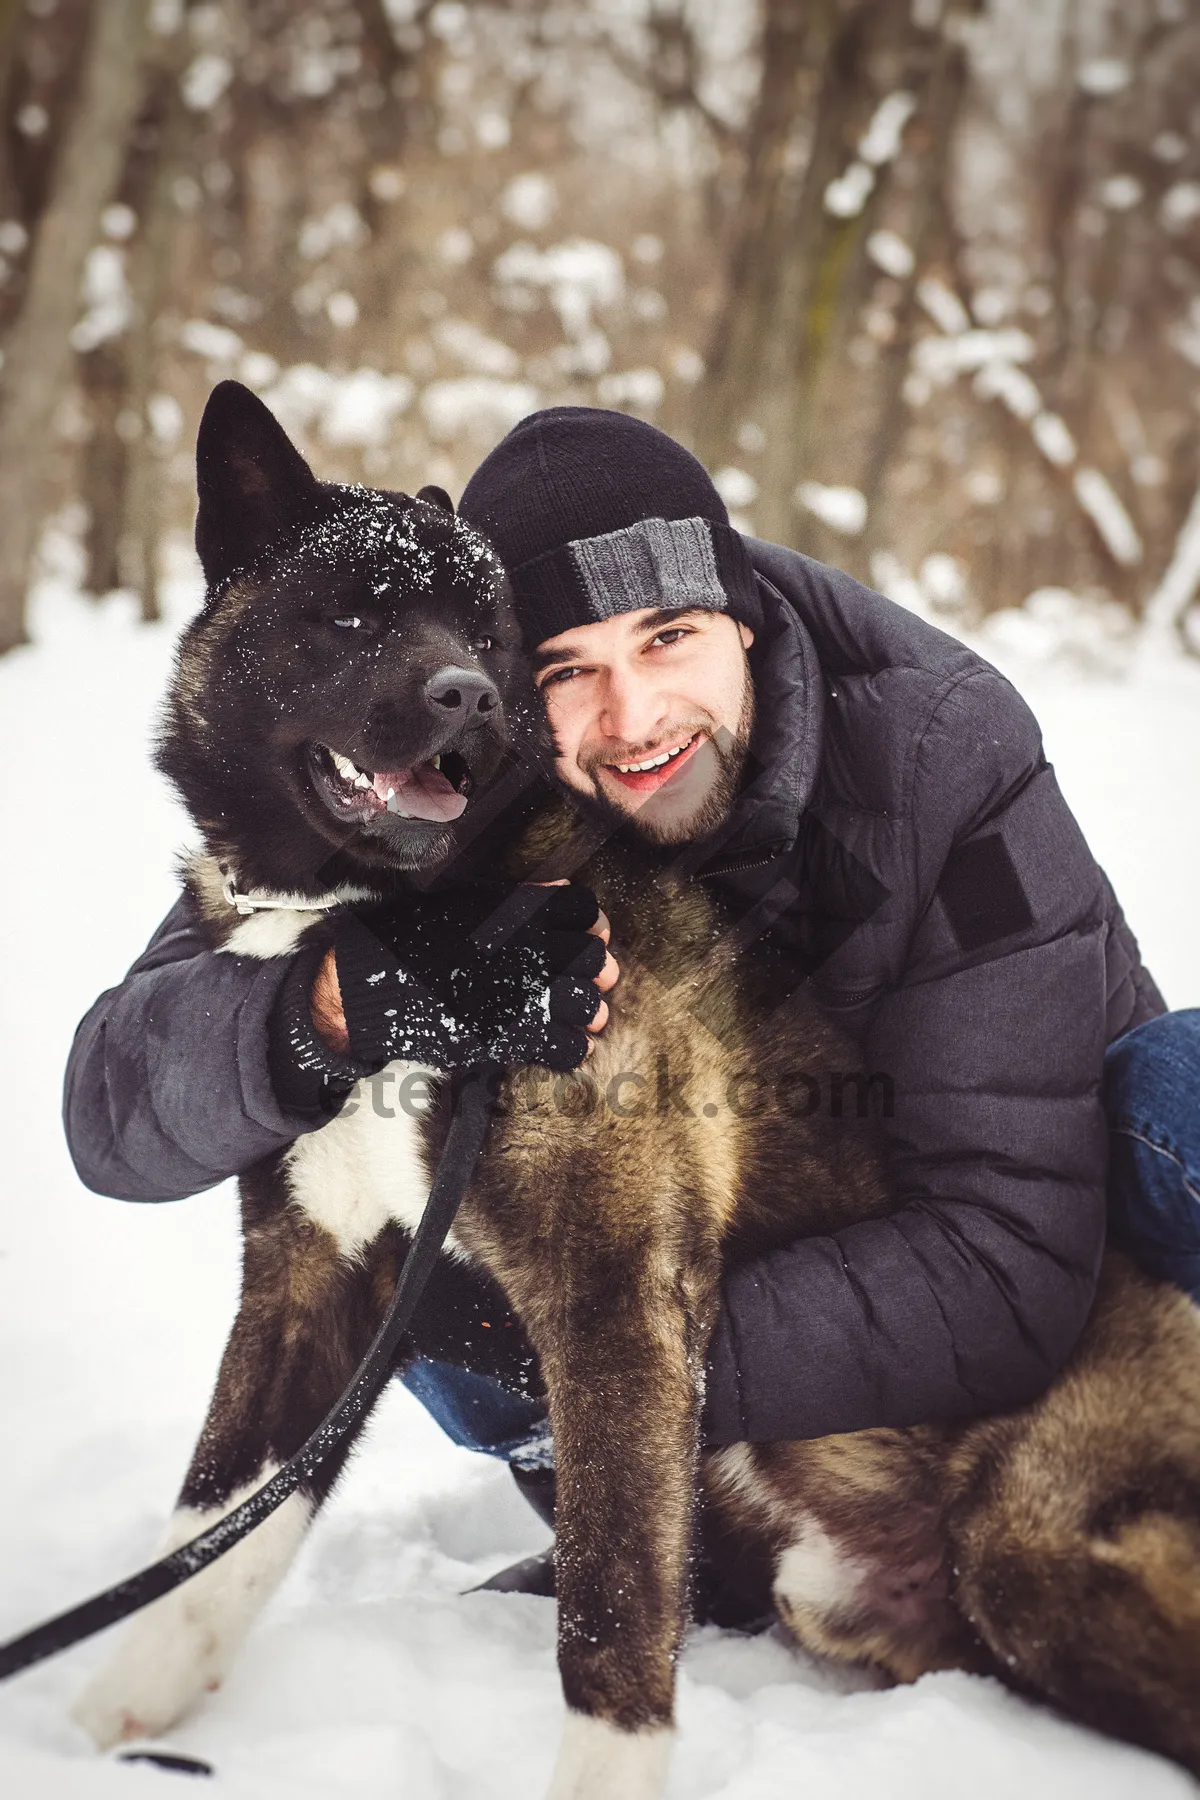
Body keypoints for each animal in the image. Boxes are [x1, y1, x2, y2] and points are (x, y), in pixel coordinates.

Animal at [75, 376, 1200, 1785]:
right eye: (353, 614)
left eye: (491, 634)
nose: (467, 700)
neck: (411, 927)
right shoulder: (310, 1279)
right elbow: (212, 1537)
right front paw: (114, 1721)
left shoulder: (610, 1297)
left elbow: (609, 1623)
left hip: (1032, 1546)